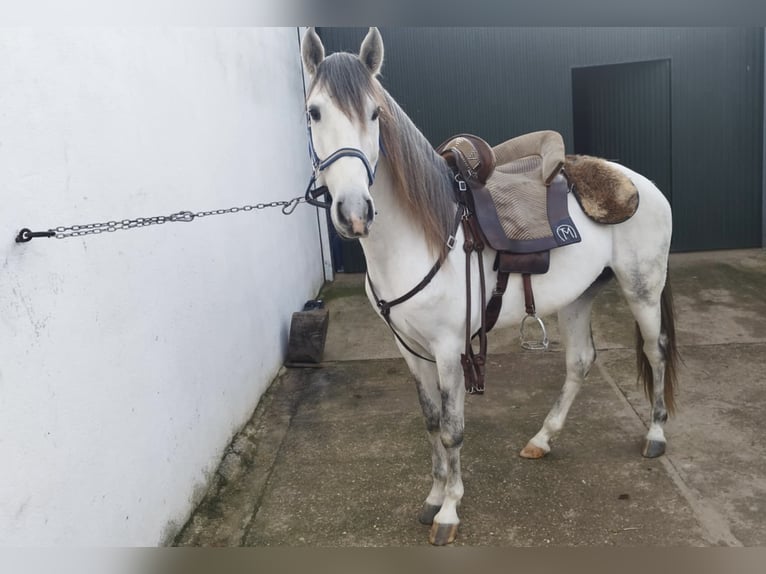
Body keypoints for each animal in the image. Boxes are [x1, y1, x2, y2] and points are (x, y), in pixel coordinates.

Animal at [298, 28, 680, 548]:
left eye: (375, 114)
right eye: (314, 112)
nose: (355, 212)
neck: (426, 234)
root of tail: (638, 182)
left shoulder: (447, 347)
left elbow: (453, 430)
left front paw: (449, 511)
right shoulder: (410, 348)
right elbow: (431, 422)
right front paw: (434, 496)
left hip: (642, 287)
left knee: (655, 349)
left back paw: (655, 435)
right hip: (578, 297)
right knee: (580, 361)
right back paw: (543, 439)